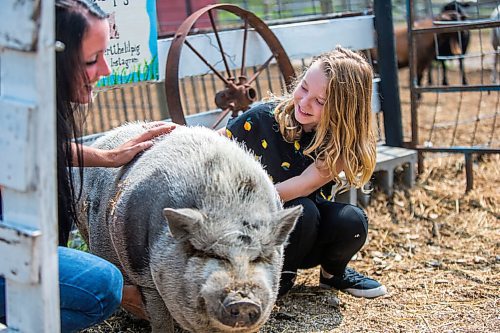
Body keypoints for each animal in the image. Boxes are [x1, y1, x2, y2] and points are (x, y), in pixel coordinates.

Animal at [76, 122, 302, 332]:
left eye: (259, 258)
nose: (243, 301)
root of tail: (104, 137)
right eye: (211, 254)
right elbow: (161, 319)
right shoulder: (146, 279)